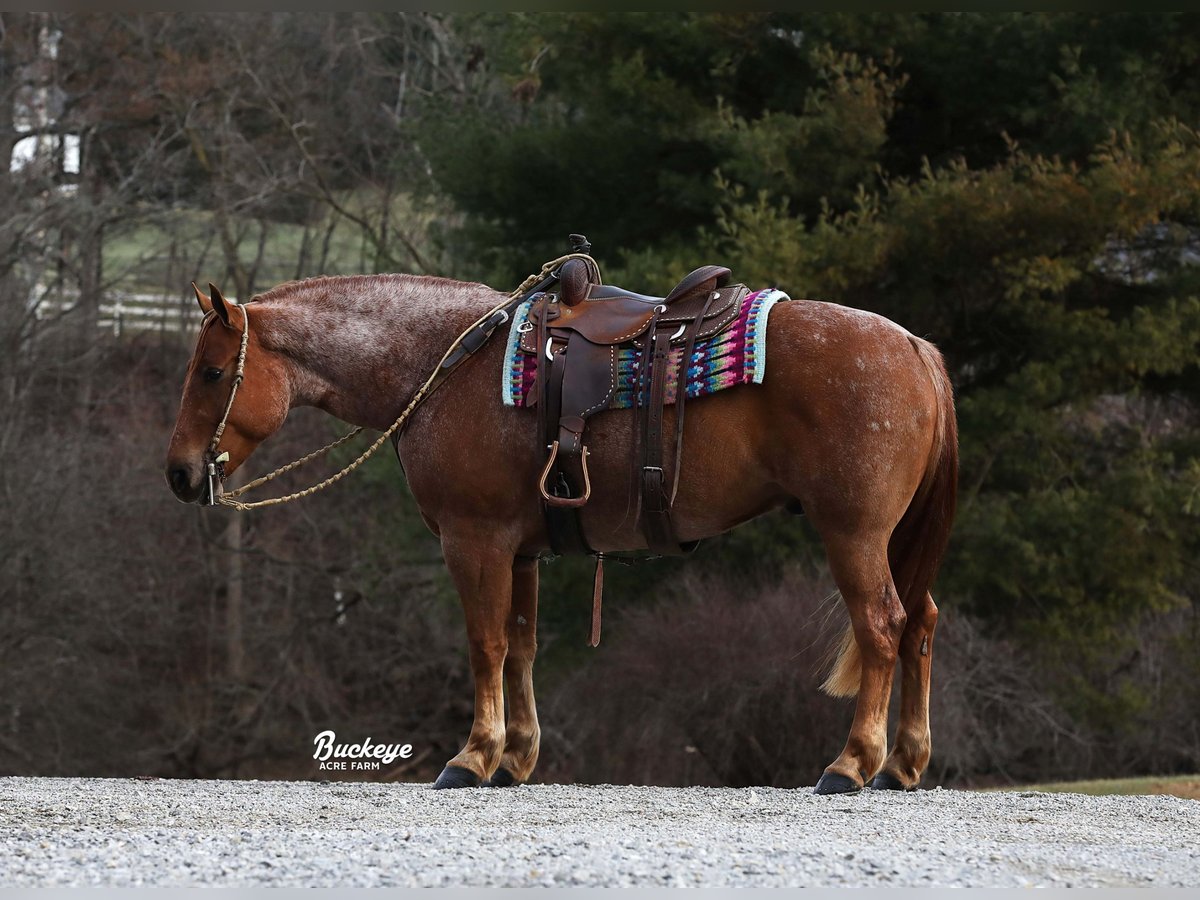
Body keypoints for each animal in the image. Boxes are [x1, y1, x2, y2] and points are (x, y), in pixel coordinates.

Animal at [166, 274, 955, 796]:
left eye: (212, 372)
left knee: (883, 626)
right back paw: (905, 763)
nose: (178, 472)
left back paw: (853, 763)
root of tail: (916, 348)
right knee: (920, 623)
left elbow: (484, 644)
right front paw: (515, 757)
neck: (445, 365)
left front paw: (473, 756)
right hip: (893, 542)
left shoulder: (474, 541)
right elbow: (520, 646)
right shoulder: (521, 552)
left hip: (853, 534)